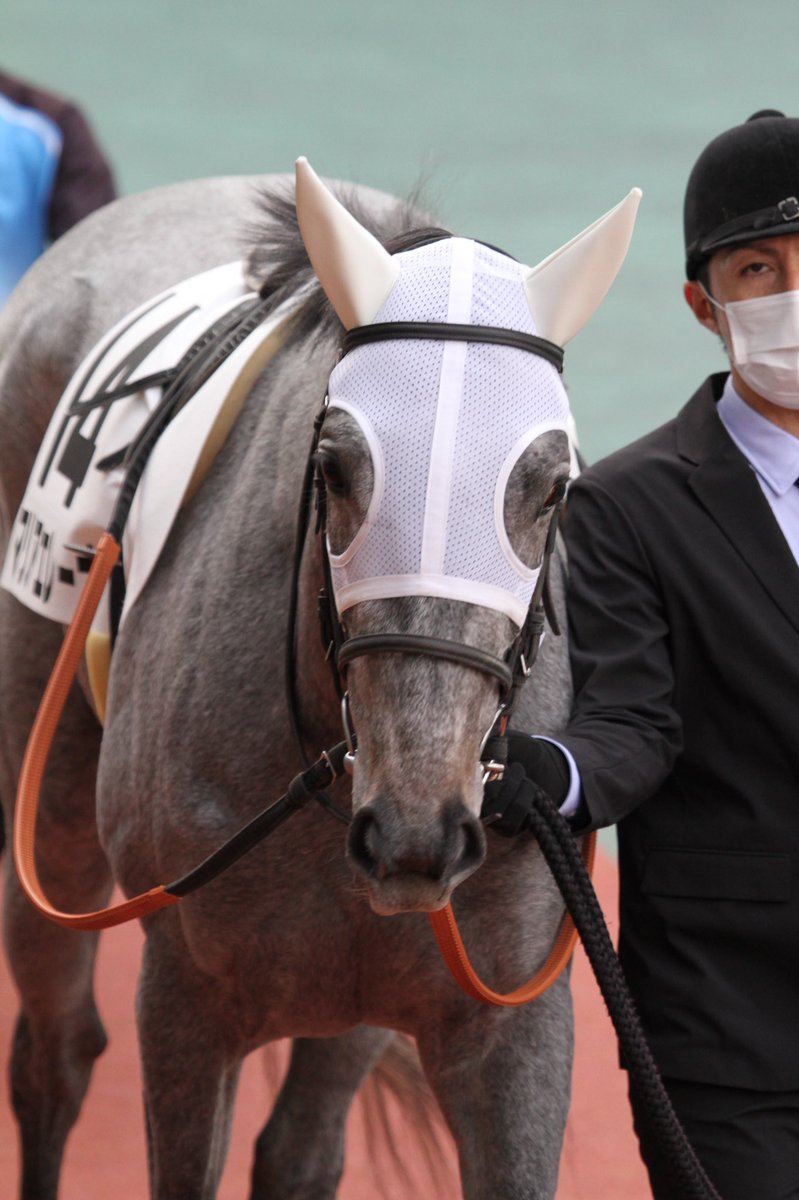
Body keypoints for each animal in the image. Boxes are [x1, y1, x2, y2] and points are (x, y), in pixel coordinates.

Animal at [0, 163, 638, 1199]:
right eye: (337, 469)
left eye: (552, 488)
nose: (418, 825)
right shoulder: (186, 997)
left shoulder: (503, 1018)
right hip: (47, 805)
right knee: (52, 1057)